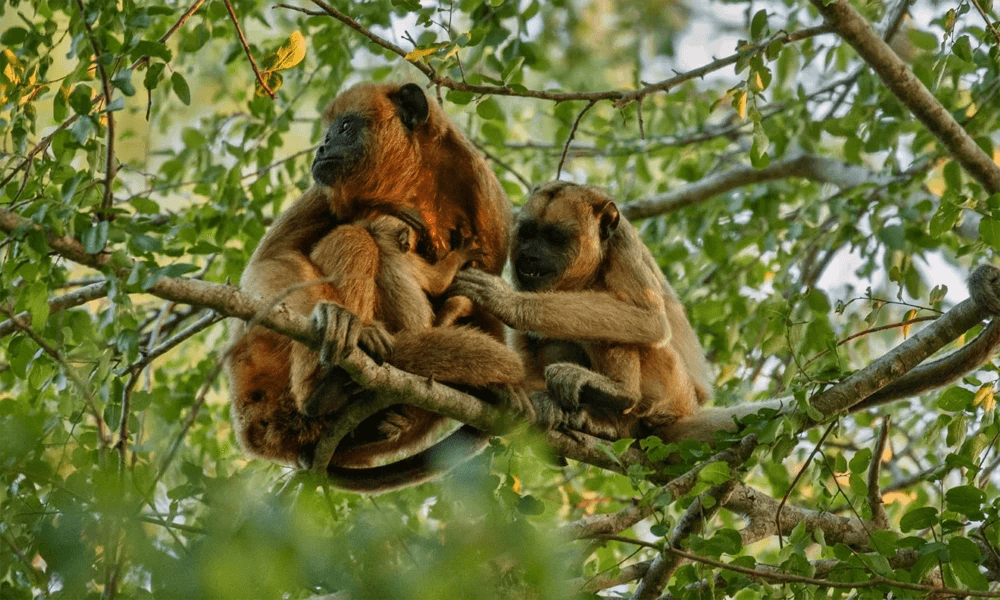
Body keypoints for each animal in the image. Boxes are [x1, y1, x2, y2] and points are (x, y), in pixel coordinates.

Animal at [226, 82, 522, 492]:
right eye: (328, 130)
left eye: (345, 127)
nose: (322, 147)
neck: (413, 180)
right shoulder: (325, 189)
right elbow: (271, 260)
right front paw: (334, 317)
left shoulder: (487, 201)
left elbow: (482, 302)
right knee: (353, 238)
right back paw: (327, 383)